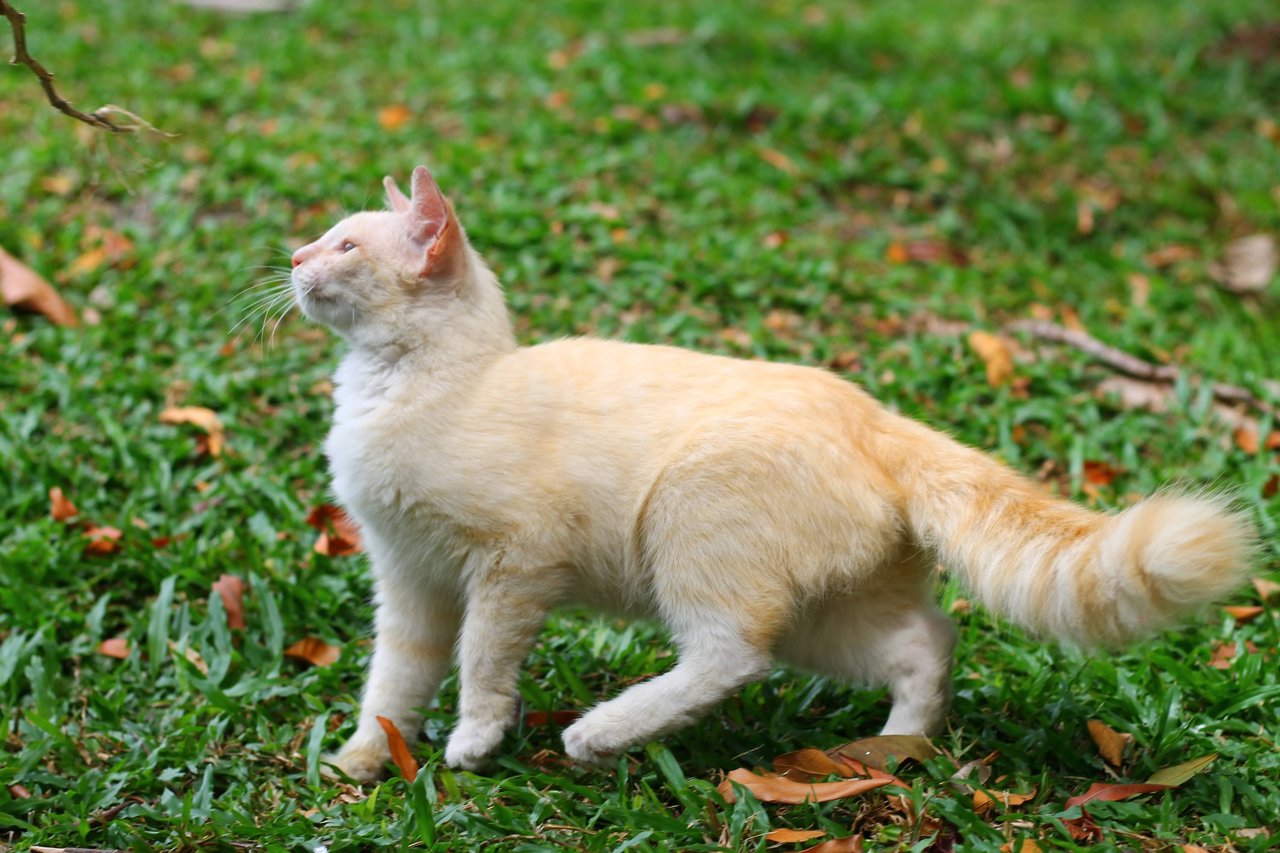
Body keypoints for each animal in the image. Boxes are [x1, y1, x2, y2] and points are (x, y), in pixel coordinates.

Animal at [288, 163, 1249, 778]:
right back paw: (894, 749)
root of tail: (877, 416)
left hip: (692, 531)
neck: (420, 383)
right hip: (826, 612)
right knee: (926, 642)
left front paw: (474, 741)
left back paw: (603, 735)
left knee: (729, 656)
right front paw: (365, 758)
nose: (294, 258)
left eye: (345, 246)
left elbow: (483, 664)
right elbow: (395, 678)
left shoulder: (511, 567)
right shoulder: (409, 578)